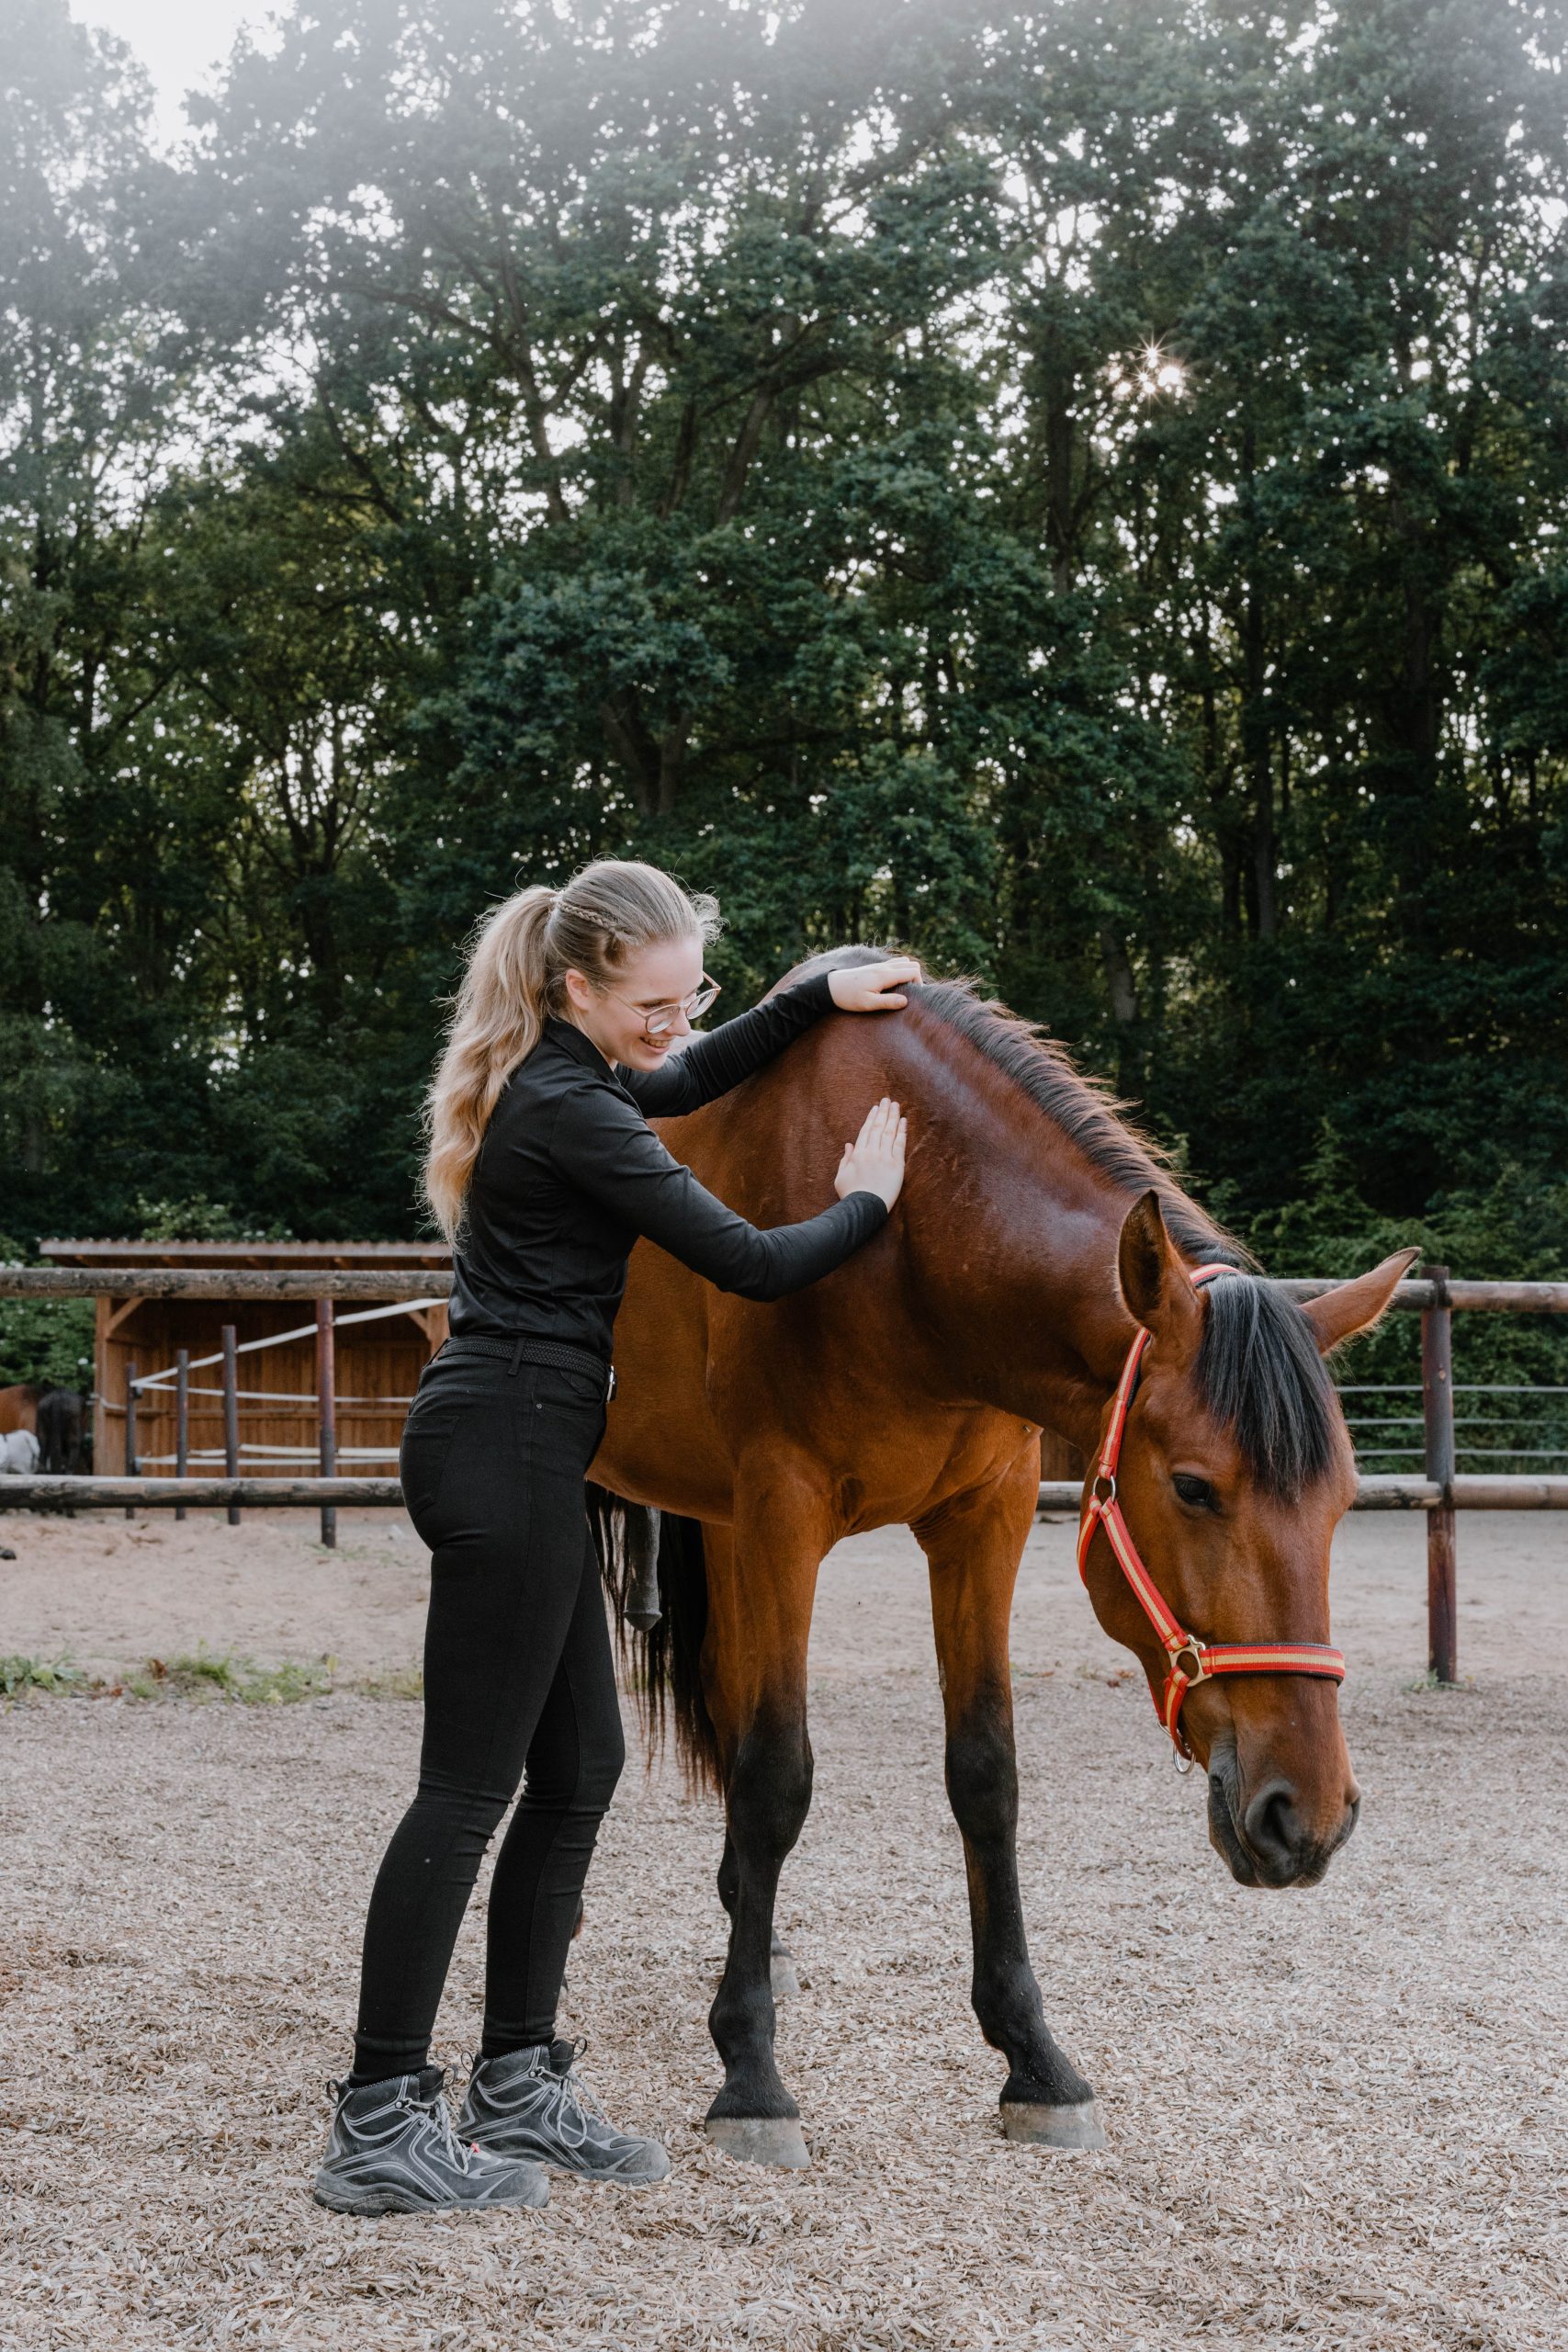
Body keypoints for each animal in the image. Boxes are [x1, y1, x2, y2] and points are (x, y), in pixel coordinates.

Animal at [585, 950, 1410, 2164]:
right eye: (1194, 1487)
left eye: (1345, 1500)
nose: (1304, 1815)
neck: (919, 1239)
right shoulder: (783, 1512)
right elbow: (780, 1776)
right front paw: (751, 2073)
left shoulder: (984, 1520)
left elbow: (984, 1774)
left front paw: (1033, 2056)